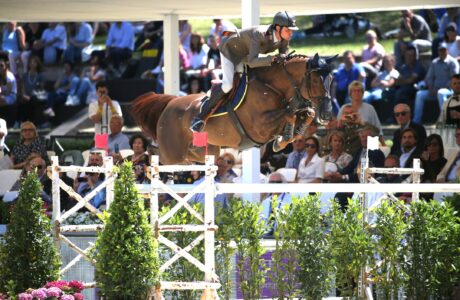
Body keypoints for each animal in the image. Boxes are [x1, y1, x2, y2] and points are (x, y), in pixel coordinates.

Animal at [131, 54, 336, 164]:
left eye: (332, 79)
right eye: (316, 80)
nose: (327, 114)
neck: (271, 86)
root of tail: (170, 103)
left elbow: (304, 113)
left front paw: (286, 138)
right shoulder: (259, 127)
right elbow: (289, 113)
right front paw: (284, 137)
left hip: (206, 152)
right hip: (173, 154)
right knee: (157, 153)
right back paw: (144, 163)